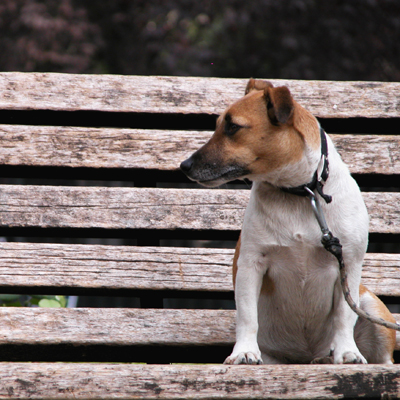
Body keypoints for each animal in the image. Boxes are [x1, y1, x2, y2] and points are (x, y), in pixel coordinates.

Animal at [182, 79, 396, 364]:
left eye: (233, 127)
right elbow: (247, 316)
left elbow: (343, 316)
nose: (184, 165)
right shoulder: (250, 264)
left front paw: (346, 351)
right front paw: (244, 351)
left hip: (371, 307)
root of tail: (306, 356)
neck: (301, 192)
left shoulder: (349, 263)